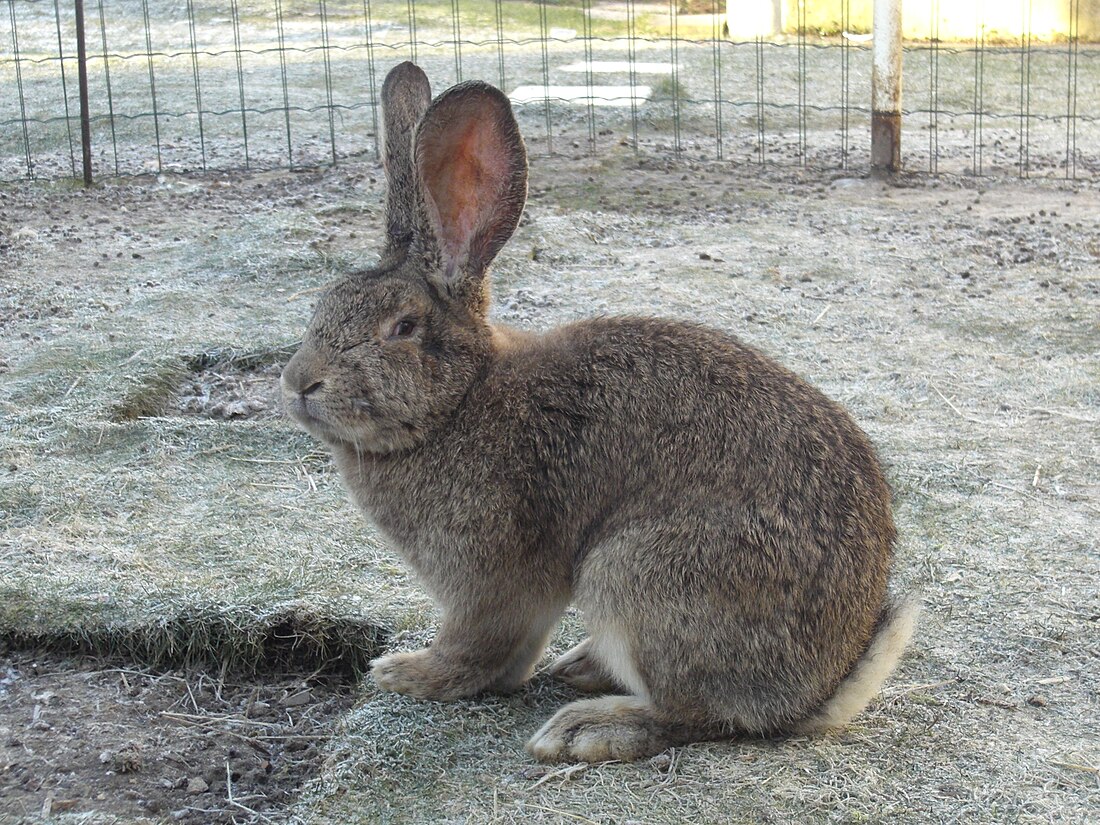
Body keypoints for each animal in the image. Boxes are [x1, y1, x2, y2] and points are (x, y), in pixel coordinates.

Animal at [283, 61, 919, 765]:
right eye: (323, 305)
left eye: (401, 327)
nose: (298, 382)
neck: (459, 401)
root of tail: (817, 691)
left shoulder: (488, 578)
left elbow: (477, 648)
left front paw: (407, 673)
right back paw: (582, 668)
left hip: (637, 575)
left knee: (699, 716)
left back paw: (586, 727)